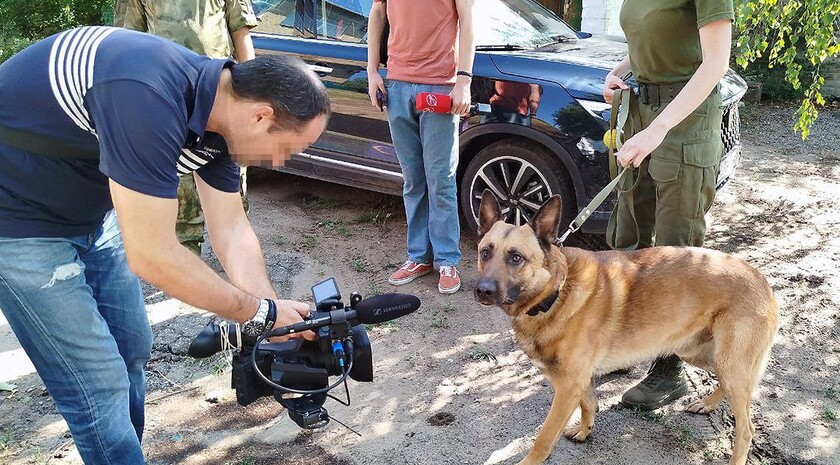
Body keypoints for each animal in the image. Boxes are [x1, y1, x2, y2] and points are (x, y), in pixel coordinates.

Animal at [476, 189, 776, 464]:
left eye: (516, 258)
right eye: (485, 252)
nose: (482, 291)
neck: (555, 292)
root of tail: (762, 281)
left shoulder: (567, 387)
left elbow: (543, 438)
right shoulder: (578, 382)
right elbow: (589, 402)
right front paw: (585, 430)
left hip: (728, 362)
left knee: (746, 428)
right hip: (700, 353)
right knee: (729, 387)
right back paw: (706, 403)